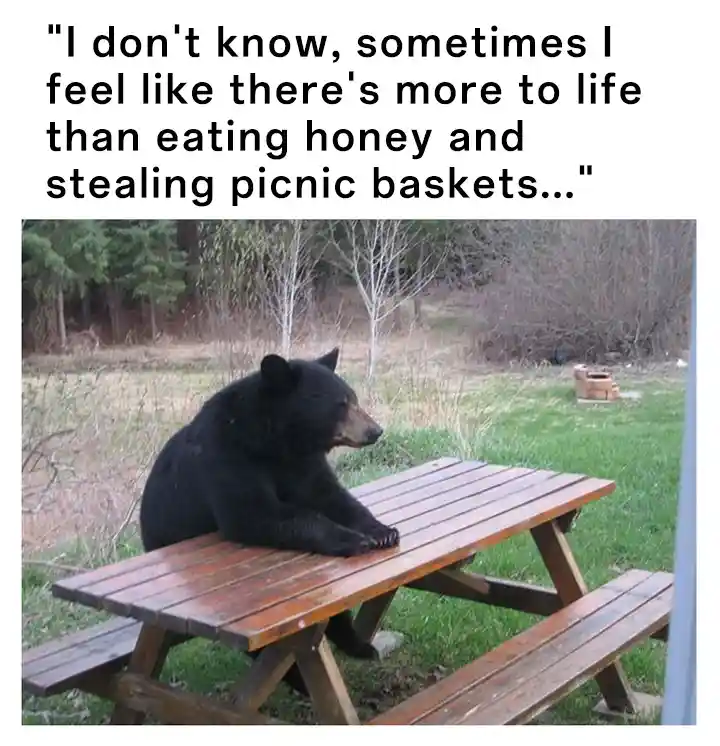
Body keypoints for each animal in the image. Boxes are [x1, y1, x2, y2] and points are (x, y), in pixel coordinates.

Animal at [138, 346, 400, 695]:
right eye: (340, 403)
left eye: (352, 398)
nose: (375, 431)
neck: (276, 440)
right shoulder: (228, 457)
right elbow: (255, 513)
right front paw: (354, 539)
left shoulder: (302, 463)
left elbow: (331, 496)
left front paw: (382, 531)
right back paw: (300, 679)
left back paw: (359, 646)